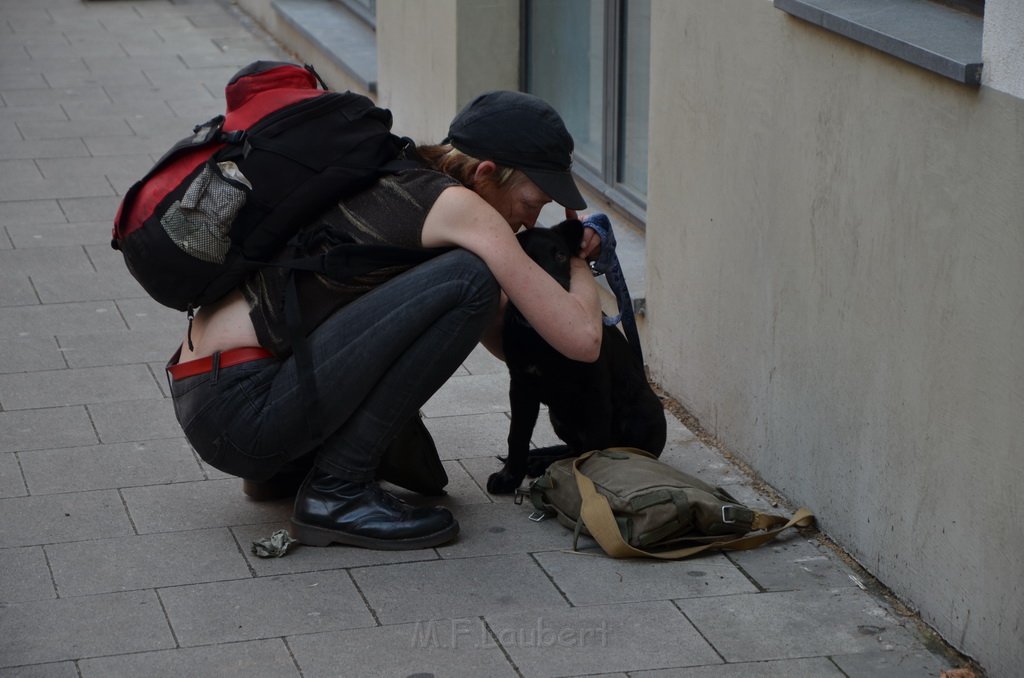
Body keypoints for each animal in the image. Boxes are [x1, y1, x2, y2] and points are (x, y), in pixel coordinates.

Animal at [485, 220, 667, 497]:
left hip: (638, 414)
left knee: (597, 446)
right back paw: (540, 460)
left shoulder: (595, 392)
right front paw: (509, 477)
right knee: (573, 447)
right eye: (527, 261)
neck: (542, 337)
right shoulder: (521, 386)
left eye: (561, 255)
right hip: (559, 416)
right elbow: (517, 435)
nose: (558, 292)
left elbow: (593, 447)